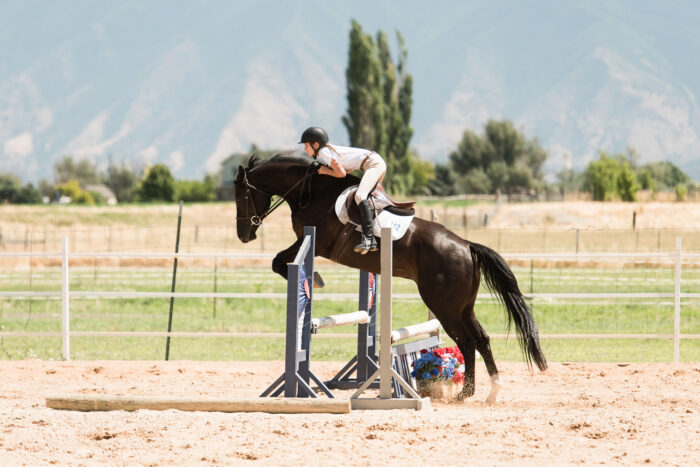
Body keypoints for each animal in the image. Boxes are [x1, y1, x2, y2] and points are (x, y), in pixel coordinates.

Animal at [234, 153, 547, 402]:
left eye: (242, 195)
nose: (243, 236)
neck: (309, 191)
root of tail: (467, 246)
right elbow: (279, 260)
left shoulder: (316, 242)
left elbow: (278, 260)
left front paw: (316, 279)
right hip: (463, 307)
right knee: (482, 339)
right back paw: (490, 391)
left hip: (444, 306)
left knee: (468, 343)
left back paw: (465, 393)